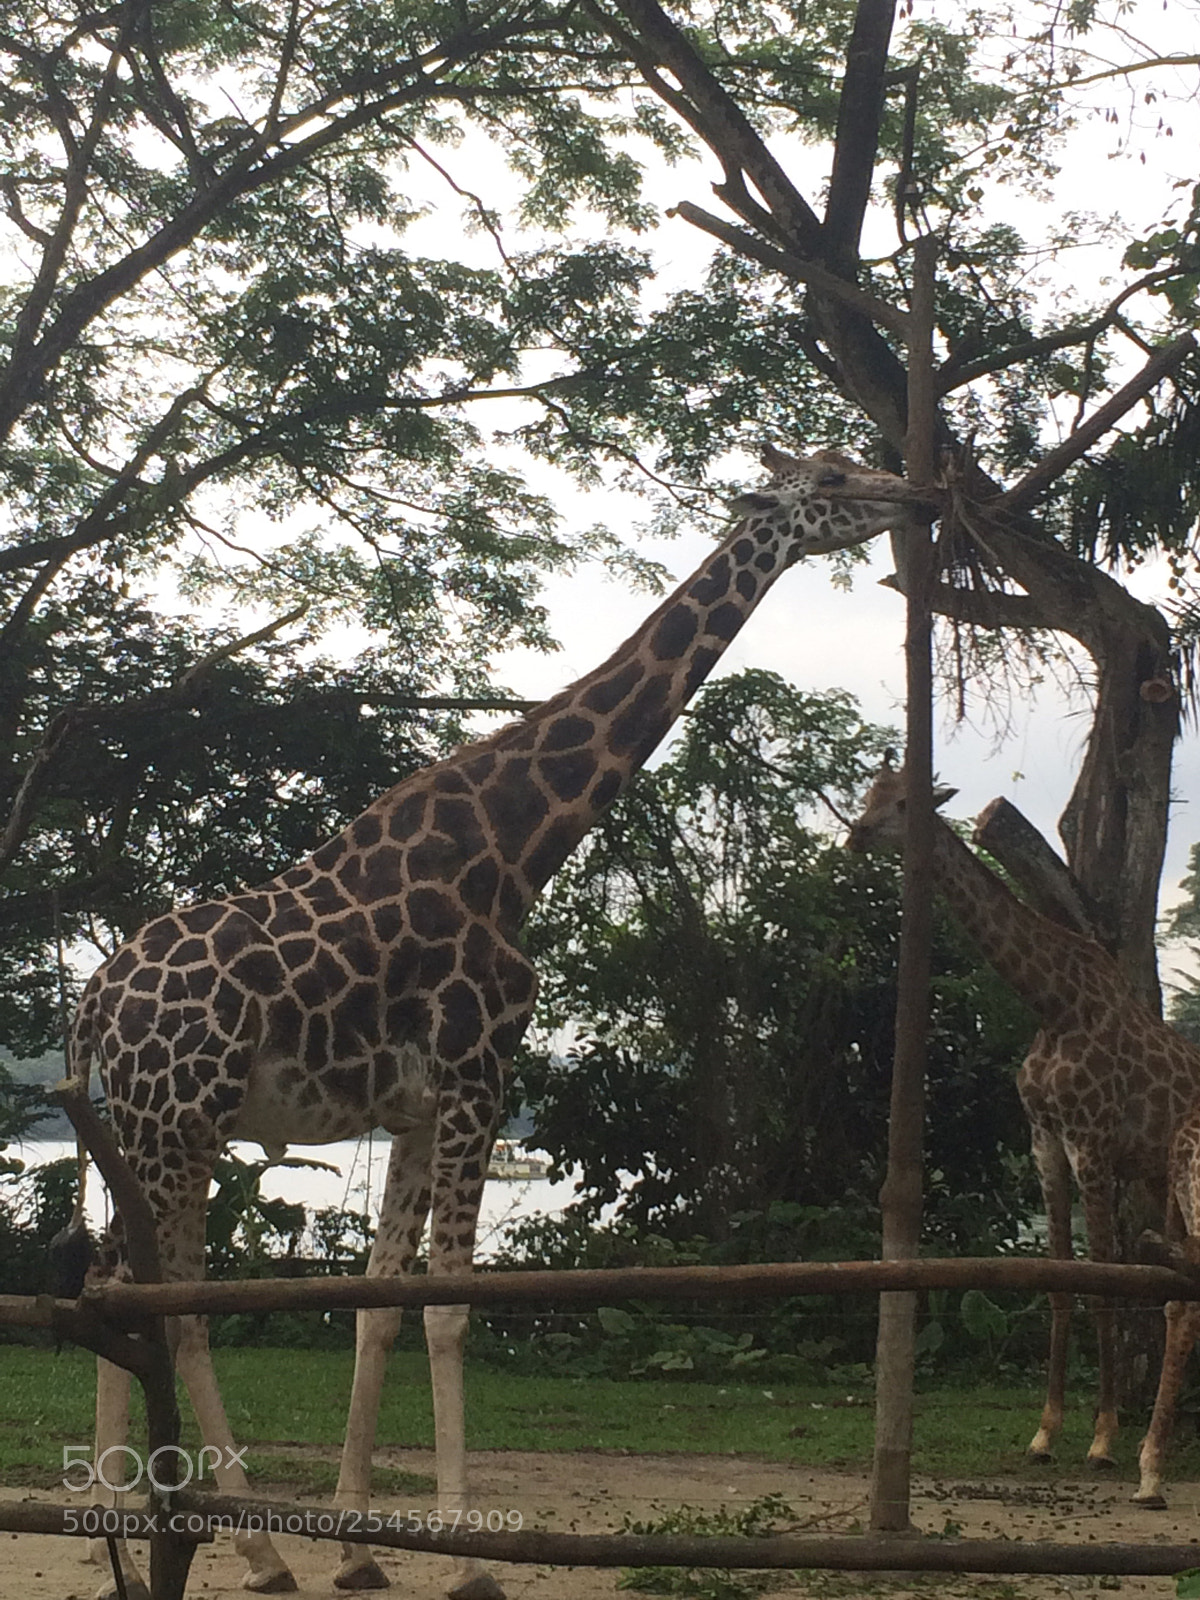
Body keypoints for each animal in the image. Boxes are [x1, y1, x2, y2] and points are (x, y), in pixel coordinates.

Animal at [71, 445, 924, 1600]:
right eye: (833, 477)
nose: (912, 493)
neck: (516, 850)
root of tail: (96, 995)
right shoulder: (483, 1073)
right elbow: (453, 1307)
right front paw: (470, 1553)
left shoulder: (420, 1107)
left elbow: (381, 1305)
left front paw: (360, 1543)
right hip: (174, 1118)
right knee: (140, 1294)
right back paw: (179, 1535)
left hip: (171, 1126)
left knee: (145, 1292)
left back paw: (187, 1533)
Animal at [846, 761, 1200, 1478]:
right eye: (869, 796)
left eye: (906, 802)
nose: (856, 835)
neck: (1054, 1003)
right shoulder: (1046, 1143)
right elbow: (1061, 1282)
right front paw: (1046, 1431)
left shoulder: (1093, 1143)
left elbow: (1102, 1282)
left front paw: (1102, 1437)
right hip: (1162, 1182)